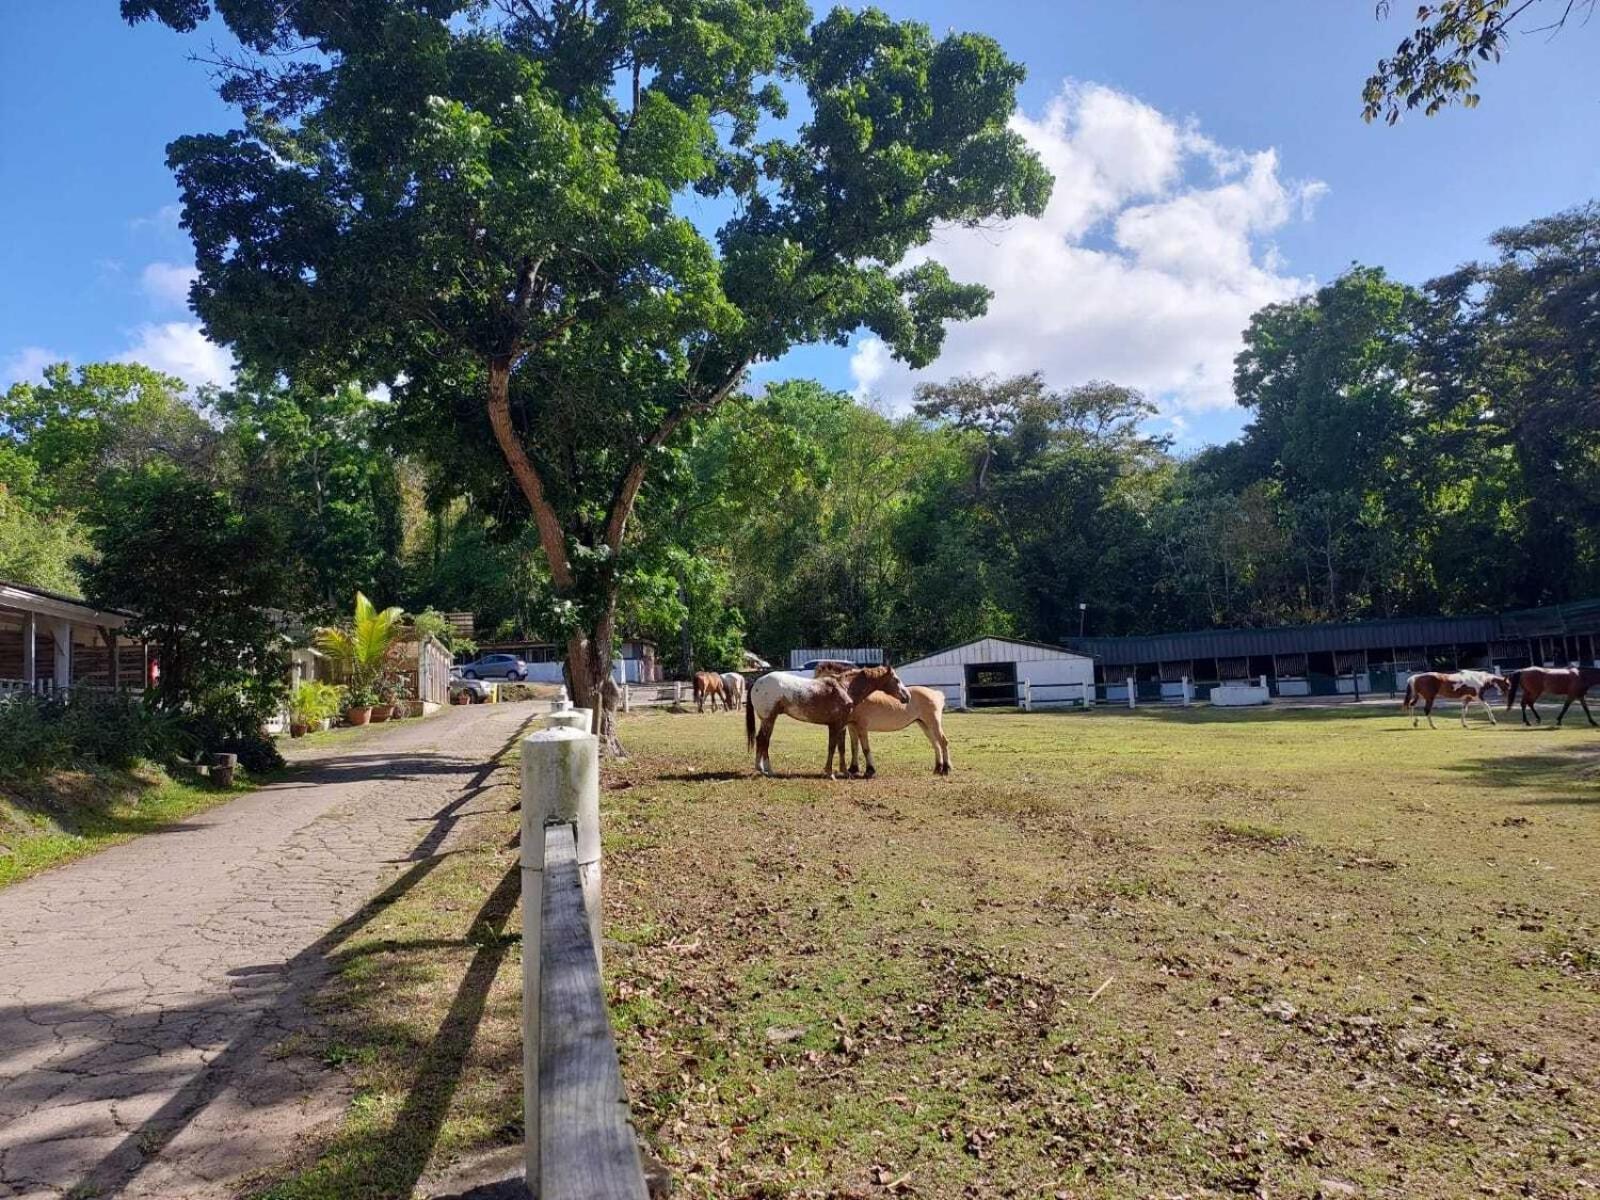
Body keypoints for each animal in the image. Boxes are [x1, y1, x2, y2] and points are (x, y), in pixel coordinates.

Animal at [742, 668, 908, 780]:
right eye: (896, 679)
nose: (907, 696)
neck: (845, 687)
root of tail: (757, 682)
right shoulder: (835, 725)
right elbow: (832, 747)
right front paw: (830, 773)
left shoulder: (841, 725)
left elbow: (841, 748)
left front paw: (845, 772)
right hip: (769, 719)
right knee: (763, 740)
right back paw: (767, 770)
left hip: (768, 719)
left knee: (761, 740)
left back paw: (762, 768)